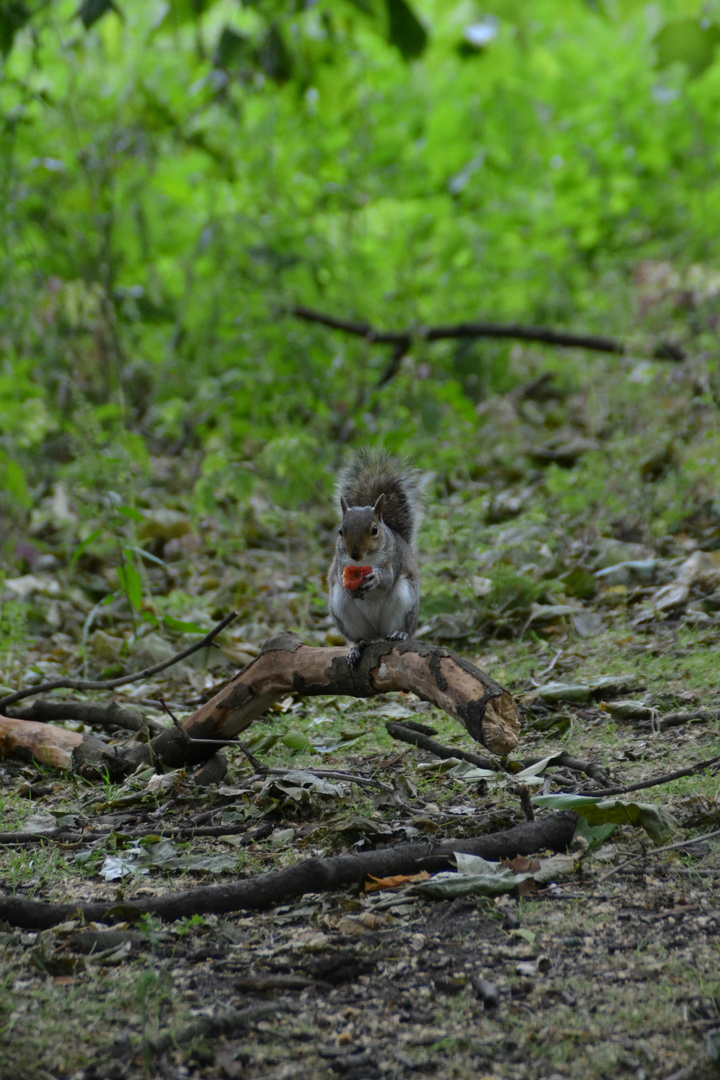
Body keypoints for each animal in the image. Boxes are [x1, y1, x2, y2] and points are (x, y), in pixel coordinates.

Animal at [328, 447, 423, 665]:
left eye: (374, 530)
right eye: (340, 531)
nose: (355, 554)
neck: (365, 561)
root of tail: (378, 632)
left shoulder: (393, 559)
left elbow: (387, 579)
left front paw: (374, 578)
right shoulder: (340, 562)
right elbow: (339, 575)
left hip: (406, 602)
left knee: (402, 627)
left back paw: (399, 634)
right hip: (342, 610)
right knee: (363, 638)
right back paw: (357, 647)